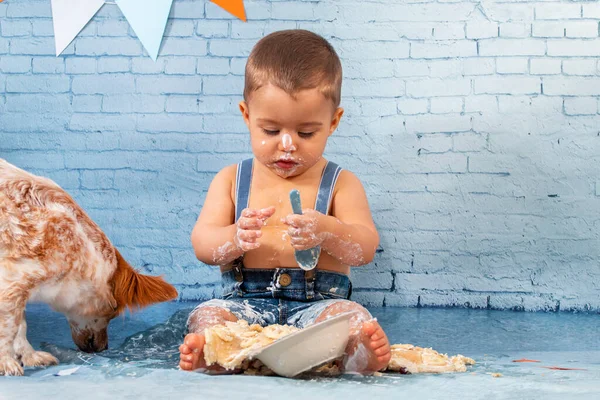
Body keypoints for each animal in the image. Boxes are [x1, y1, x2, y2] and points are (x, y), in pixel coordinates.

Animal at [0, 159, 178, 376]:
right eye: (113, 312)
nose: (104, 348)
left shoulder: (17, 284)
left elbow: (20, 325)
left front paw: (30, 357)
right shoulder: (14, 282)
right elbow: (9, 327)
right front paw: (6, 362)